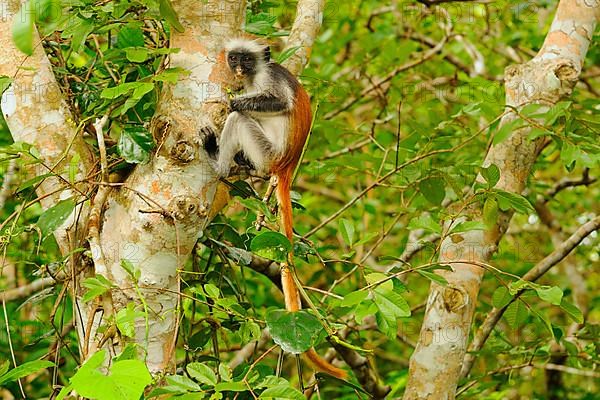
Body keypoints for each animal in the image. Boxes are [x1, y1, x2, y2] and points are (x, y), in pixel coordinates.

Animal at [200, 39, 346, 380]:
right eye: (234, 58)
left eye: (246, 60)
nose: (238, 69)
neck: (256, 76)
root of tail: (286, 165)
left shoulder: (270, 79)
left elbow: (278, 102)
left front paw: (232, 101)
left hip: (266, 152)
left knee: (240, 121)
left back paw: (219, 161)